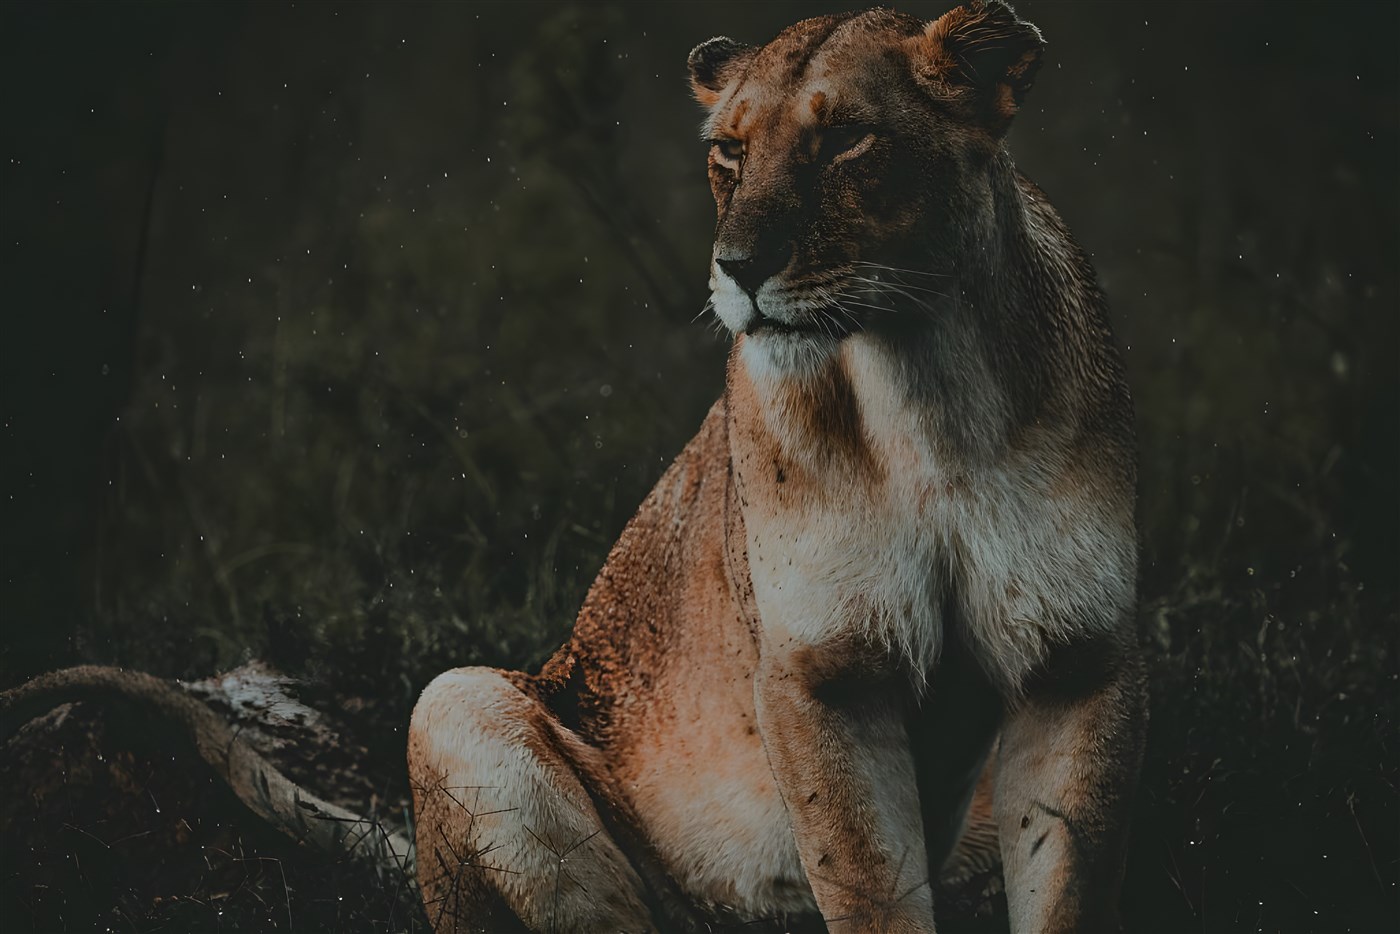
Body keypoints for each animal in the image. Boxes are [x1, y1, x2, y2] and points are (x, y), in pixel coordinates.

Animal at [407, 3, 1146, 932]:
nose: (739, 267)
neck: (924, 397)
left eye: (846, 141)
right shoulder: (819, 675)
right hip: (455, 701)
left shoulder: (1076, 664)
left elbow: (1065, 884)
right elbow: (869, 888)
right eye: (729, 150)